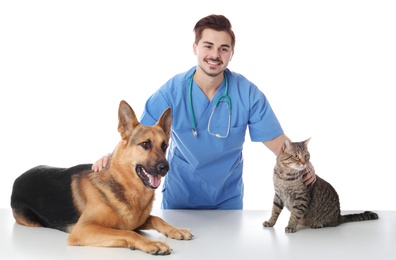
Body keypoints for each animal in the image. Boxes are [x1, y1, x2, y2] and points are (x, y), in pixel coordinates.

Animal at [10, 100, 193, 255]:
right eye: (145, 144)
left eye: (164, 146)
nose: (165, 168)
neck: (124, 184)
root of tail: (18, 178)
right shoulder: (84, 229)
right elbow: (128, 232)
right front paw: (151, 243)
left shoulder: (137, 222)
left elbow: (156, 218)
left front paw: (176, 230)